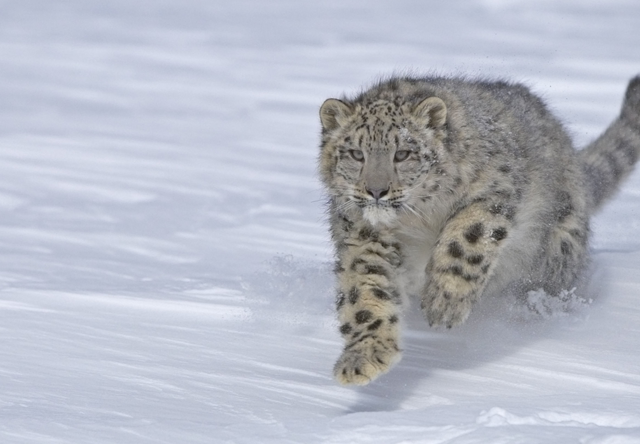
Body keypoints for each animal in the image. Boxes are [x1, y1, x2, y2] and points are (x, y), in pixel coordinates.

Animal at [318, 74, 640, 386]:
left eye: (403, 154)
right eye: (356, 154)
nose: (376, 191)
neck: (417, 221)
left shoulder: (492, 192)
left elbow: (465, 240)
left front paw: (443, 304)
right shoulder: (363, 236)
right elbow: (365, 291)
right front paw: (362, 359)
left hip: (557, 250)